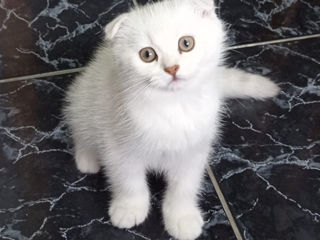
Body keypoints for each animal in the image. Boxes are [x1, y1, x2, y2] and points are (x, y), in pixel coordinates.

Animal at [63, 0, 278, 239]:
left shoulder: (194, 150)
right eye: (147, 54)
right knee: (80, 128)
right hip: (84, 100)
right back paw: (87, 158)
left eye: (186, 43)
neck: (172, 106)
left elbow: (184, 186)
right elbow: (128, 180)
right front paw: (130, 208)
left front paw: (181, 217)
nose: (172, 68)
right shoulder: (118, 148)